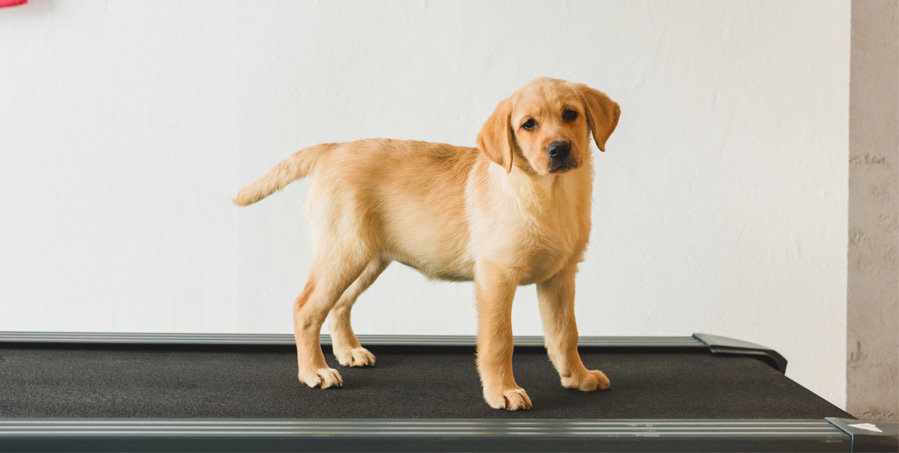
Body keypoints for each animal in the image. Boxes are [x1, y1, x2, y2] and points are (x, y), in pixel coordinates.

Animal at [236, 77, 624, 410]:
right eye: (528, 124)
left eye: (570, 114)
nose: (559, 149)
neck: (550, 195)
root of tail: (334, 149)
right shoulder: (496, 277)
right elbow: (499, 341)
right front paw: (503, 391)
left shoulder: (560, 277)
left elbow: (565, 334)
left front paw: (577, 377)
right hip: (343, 252)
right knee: (305, 308)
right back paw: (314, 371)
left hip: (367, 258)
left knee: (339, 305)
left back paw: (349, 352)